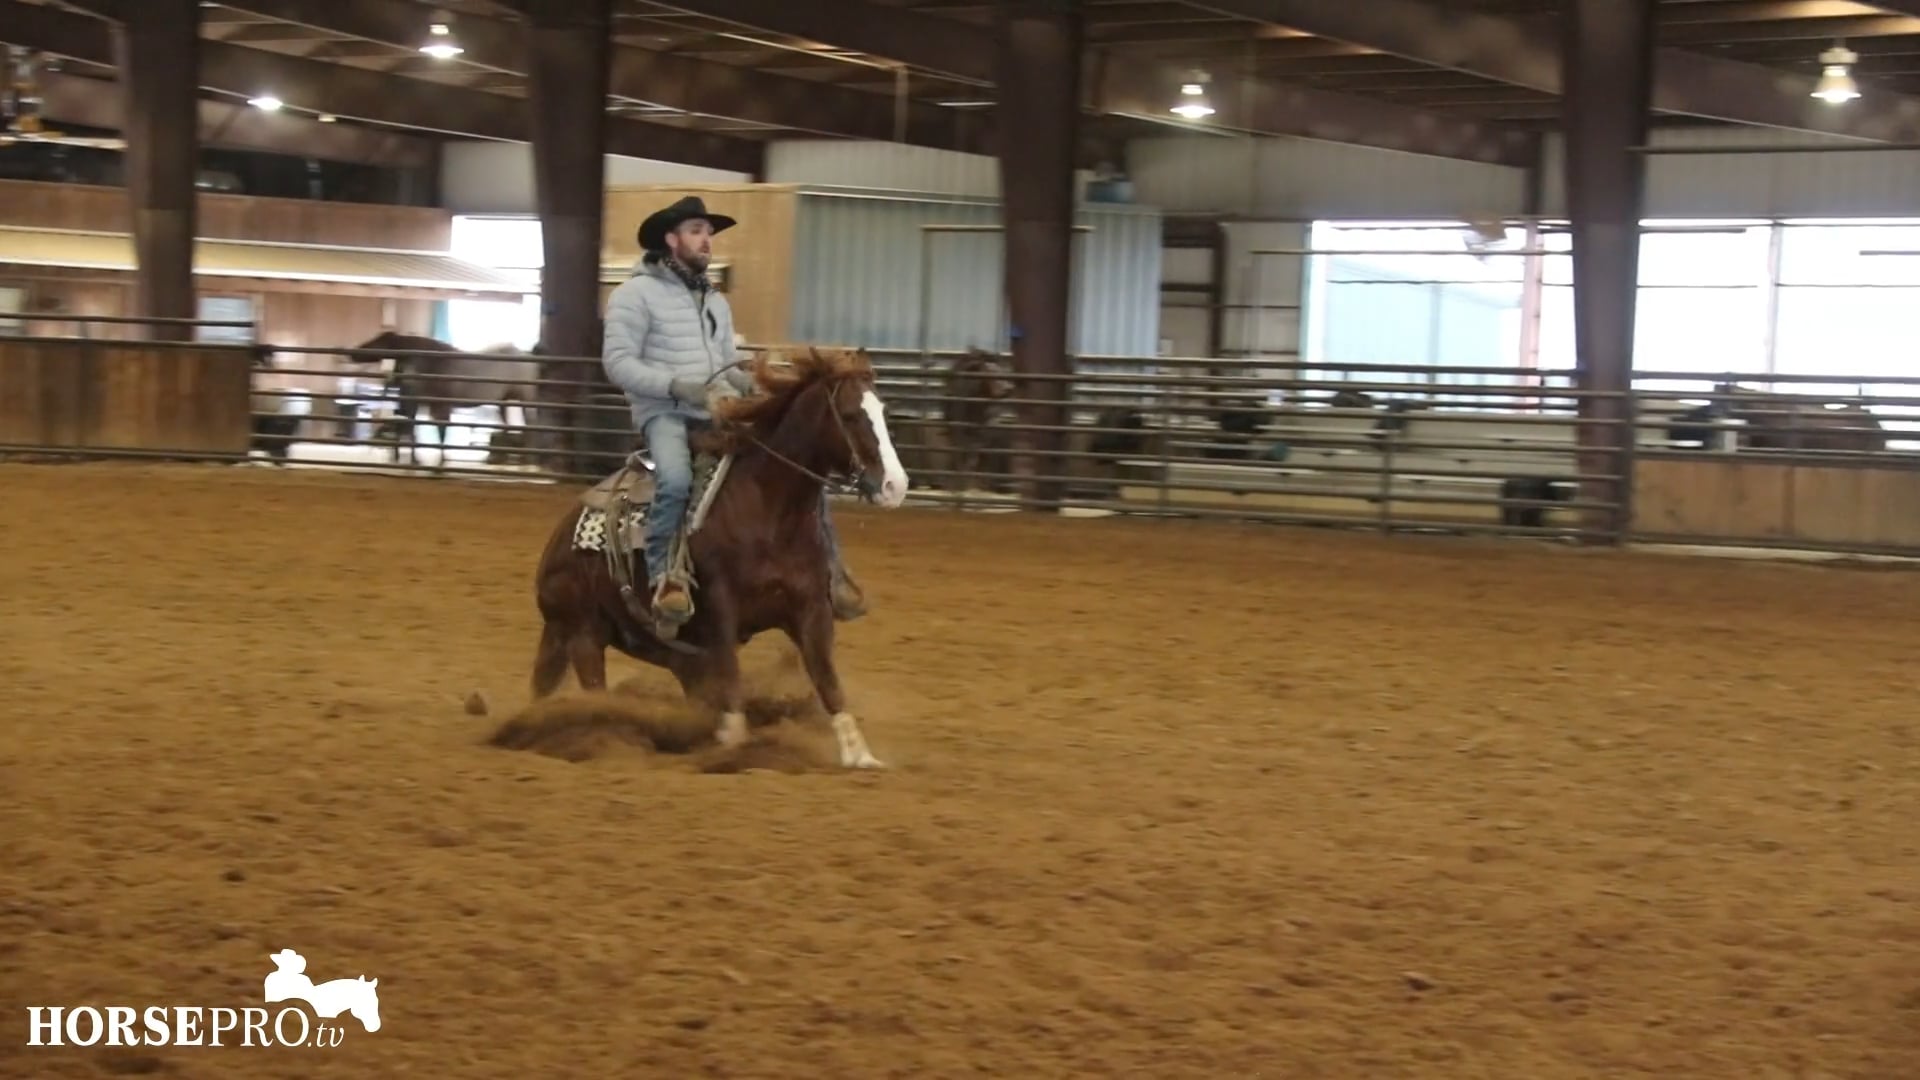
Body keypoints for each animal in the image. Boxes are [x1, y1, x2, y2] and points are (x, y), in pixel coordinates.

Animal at [351, 332, 550, 470]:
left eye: (377, 341)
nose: (353, 353)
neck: (433, 362)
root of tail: (529, 355)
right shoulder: (429, 405)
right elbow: (423, 431)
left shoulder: (442, 406)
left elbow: (441, 433)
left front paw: (440, 466)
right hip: (504, 401)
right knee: (509, 427)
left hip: (526, 399)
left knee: (531, 426)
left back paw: (530, 462)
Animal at [528, 345, 911, 769]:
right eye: (850, 415)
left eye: (884, 411)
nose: (896, 486)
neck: (768, 509)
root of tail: (556, 543)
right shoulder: (720, 609)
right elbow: (731, 678)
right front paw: (734, 745)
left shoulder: (810, 608)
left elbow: (827, 679)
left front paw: (860, 755)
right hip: (583, 632)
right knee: (596, 691)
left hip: (660, 649)